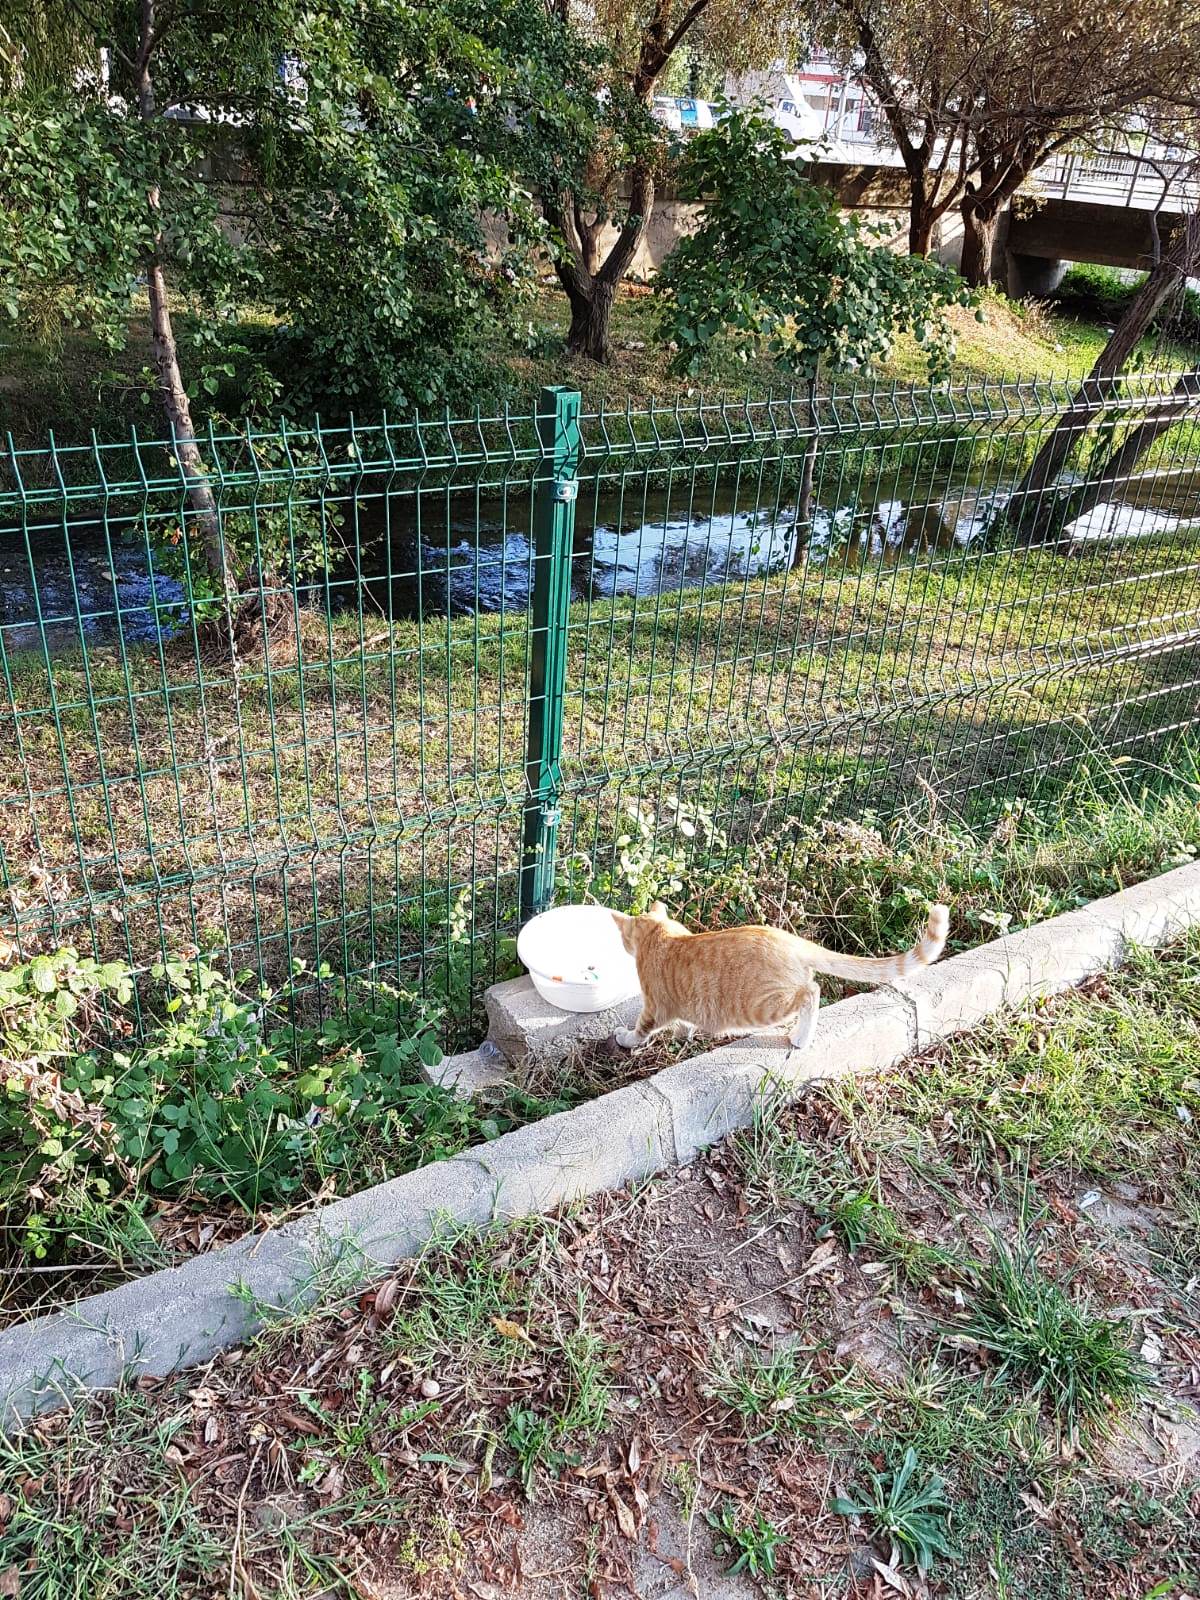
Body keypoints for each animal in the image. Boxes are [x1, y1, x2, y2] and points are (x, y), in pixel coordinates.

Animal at [614, 902, 953, 1049]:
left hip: (762, 1004)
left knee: (812, 992)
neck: (664, 935)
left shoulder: (654, 1008)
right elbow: (684, 1024)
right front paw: (683, 1035)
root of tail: (791, 940)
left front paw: (626, 1038)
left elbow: (640, 1030)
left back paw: (801, 1037)